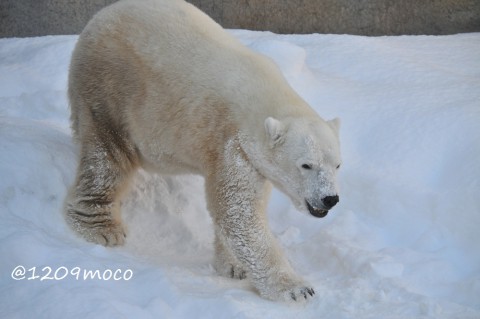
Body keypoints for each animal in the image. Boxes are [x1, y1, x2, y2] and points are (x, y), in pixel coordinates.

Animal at [64, 0, 342, 304]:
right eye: (306, 165)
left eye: (337, 165)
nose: (330, 199)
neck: (266, 96)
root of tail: (98, 19)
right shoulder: (232, 141)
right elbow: (239, 213)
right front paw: (297, 288)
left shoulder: (251, 157)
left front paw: (234, 266)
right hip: (110, 87)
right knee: (107, 155)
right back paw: (101, 228)